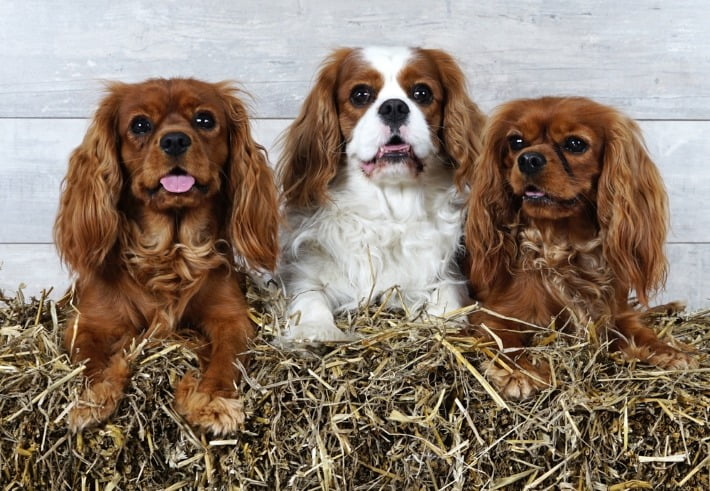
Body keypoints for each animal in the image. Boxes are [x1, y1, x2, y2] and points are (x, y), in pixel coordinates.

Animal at [276, 49, 486, 342]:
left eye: (422, 93)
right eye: (360, 94)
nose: (395, 107)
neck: (390, 208)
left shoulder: (446, 270)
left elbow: (447, 293)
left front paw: (438, 319)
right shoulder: (306, 271)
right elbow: (309, 295)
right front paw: (316, 328)